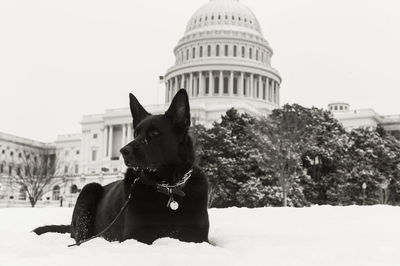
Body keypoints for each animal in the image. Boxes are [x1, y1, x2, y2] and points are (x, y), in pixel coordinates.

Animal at [34, 90, 209, 245]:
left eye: (154, 134)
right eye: (135, 133)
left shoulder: (199, 237)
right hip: (89, 189)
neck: (169, 187)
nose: (123, 151)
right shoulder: (135, 236)